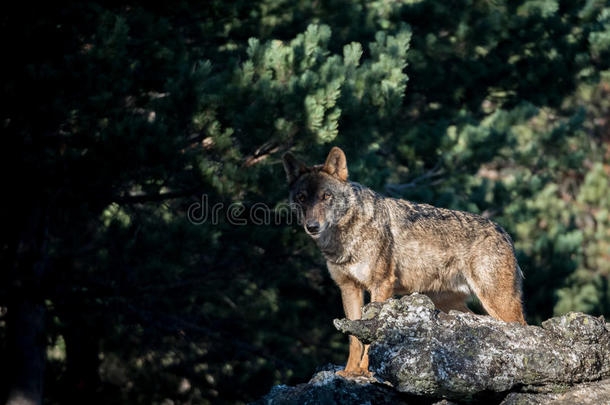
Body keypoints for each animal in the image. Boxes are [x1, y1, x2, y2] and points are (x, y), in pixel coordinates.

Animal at [280, 145, 524, 376]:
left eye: (326, 196)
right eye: (302, 198)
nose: (312, 227)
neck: (345, 241)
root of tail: (505, 233)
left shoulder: (381, 285)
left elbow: (372, 338)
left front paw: (367, 371)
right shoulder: (349, 288)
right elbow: (354, 340)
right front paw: (350, 373)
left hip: (498, 304)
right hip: (451, 306)